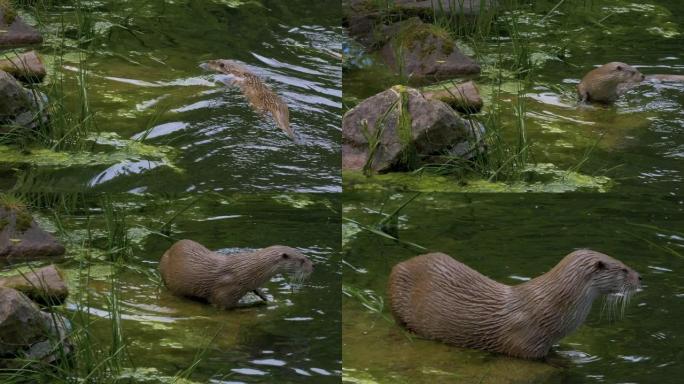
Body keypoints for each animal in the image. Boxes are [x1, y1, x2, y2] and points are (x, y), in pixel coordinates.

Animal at [160, 240, 312, 308]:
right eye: (302, 260)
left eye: (305, 256)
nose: (314, 265)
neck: (246, 272)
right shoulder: (223, 295)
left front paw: (265, 297)